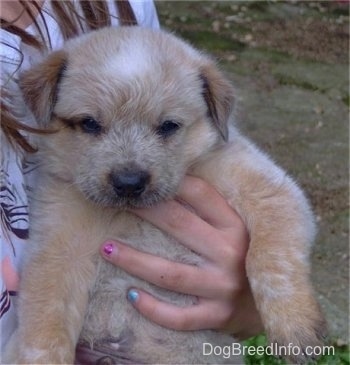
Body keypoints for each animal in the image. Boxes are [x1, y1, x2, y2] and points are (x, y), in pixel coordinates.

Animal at [4, 27, 326, 362]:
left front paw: (295, 328)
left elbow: (271, 261)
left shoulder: (268, 189)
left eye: (169, 126)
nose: (129, 182)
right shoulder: (59, 251)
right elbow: (44, 332)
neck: (127, 216)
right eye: (90, 123)